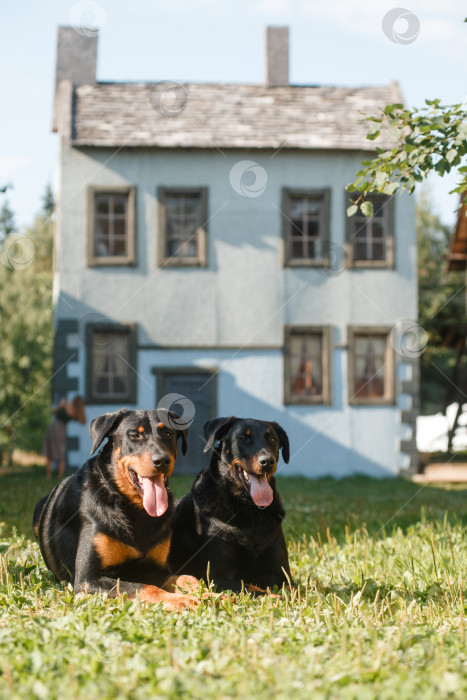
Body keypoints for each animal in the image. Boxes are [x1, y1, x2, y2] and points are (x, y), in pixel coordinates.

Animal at [32, 408, 201, 608]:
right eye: (134, 435)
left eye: (167, 434)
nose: (162, 460)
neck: (135, 509)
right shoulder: (87, 580)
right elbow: (145, 588)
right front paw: (182, 600)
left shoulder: (155, 569)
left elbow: (187, 578)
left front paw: (212, 594)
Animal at [168, 416, 292, 592]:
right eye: (244, 438)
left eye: (272, 439)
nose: (267, 461)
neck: (248, 509)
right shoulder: (217, 577)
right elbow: (254, 589)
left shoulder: (282, 574)